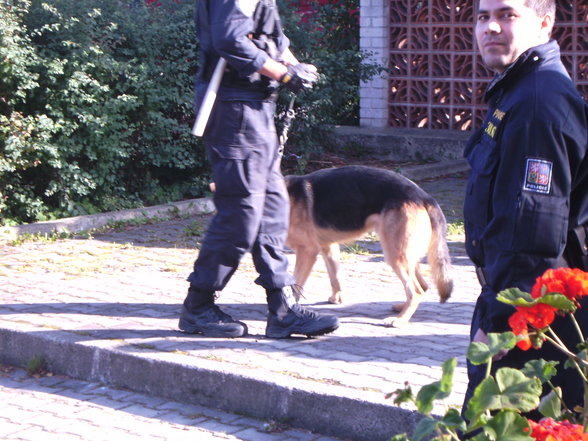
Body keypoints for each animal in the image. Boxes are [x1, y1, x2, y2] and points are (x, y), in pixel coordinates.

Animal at [284, 165, 454, 326]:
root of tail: (424, 197)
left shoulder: (307, 251)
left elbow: (295, 284)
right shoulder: (328, 247)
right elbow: (335, 276)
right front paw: (336, 298)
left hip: (394, 256)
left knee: (416, 290)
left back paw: (400, 320)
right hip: (404, 254)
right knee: (423, 285)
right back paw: (402, 307)